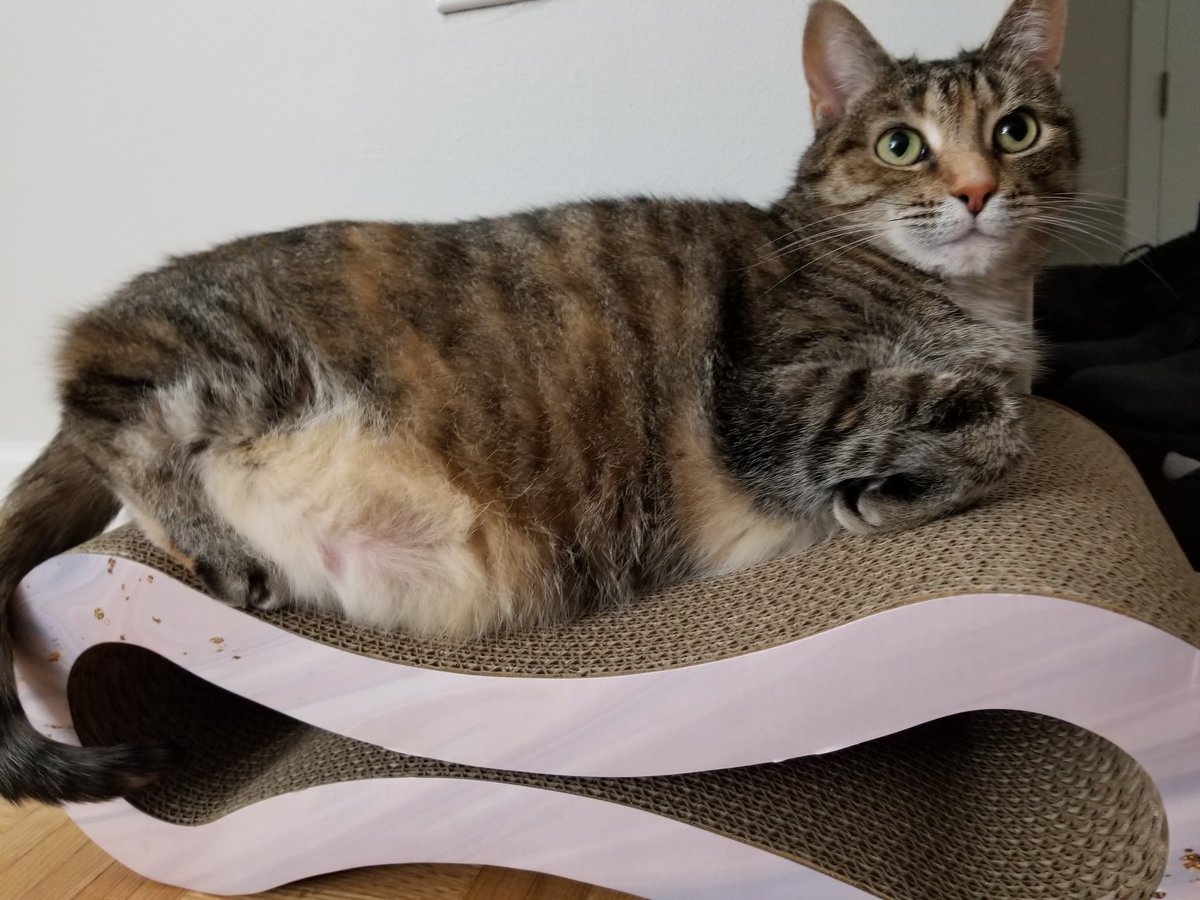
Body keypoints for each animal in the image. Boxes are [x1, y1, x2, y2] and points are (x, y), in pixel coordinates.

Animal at [0, 0, 1075, 801]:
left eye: (1016, 130)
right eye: (901, 145)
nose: (977, 190)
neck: (982, 307)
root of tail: (130, 305)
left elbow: (1002, 406)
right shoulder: (774, 399)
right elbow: (997, 419)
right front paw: (897, 486)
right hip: (226, 363)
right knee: (101, 406)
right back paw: (208, 538)